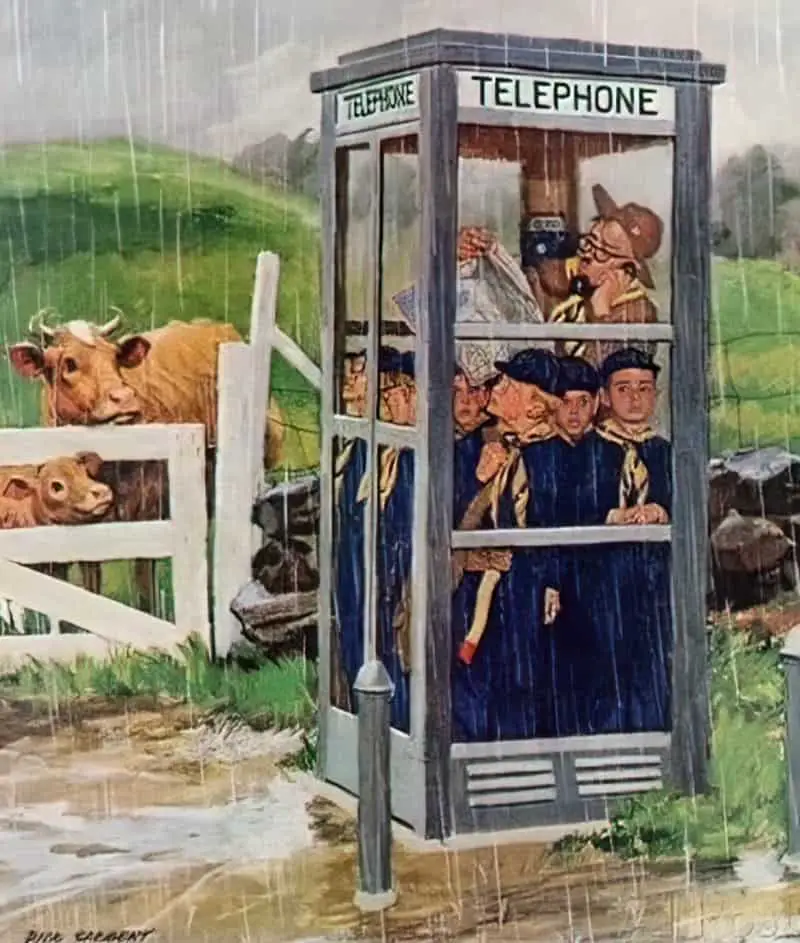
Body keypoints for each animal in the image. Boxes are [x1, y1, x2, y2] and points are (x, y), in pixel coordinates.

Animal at [7, 306, 286, 608]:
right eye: (69, 363)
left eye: (115, 357)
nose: (124, 397)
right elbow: (91, 586)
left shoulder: (149, 512)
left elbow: (144, 591)